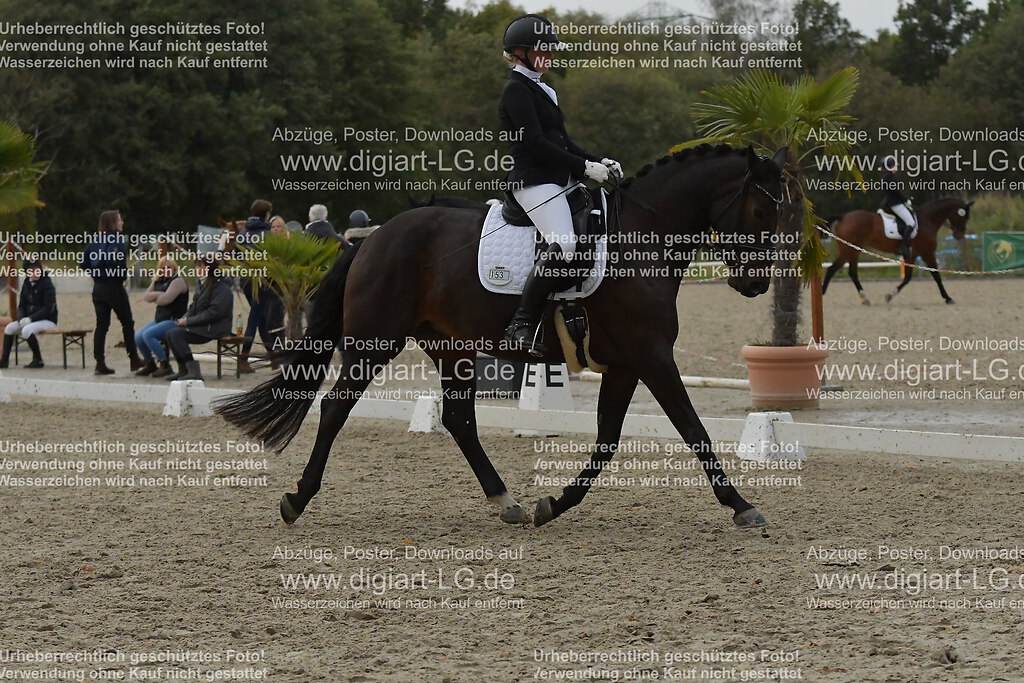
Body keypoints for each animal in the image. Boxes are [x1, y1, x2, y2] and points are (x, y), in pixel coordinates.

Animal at [213, 144, 788, 530]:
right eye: (763, 210)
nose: (756, 283)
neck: (640, 238)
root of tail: (372, 237)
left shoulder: (627, 363)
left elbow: (606, 439)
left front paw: (553, 504)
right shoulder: (652, 357)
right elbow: (694, 430)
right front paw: (742, 506)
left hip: (451, 348)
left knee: (459, 420)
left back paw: (506, 501)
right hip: (375, 340)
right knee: (336, 408)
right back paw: (296, 499)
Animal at [821, 198, 974, 305]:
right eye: (964, 216)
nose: (959, 235)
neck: (928, 220)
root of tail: (843, 217)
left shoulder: (912, 255)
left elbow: (907, 278)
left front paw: (890, 295)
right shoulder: (927, 253)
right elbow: (936, 275)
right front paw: (948, 298)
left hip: (853, 251)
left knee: (851, 273)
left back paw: (865, 298)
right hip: (849, 251)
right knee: (832, 269)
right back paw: (822, 294)